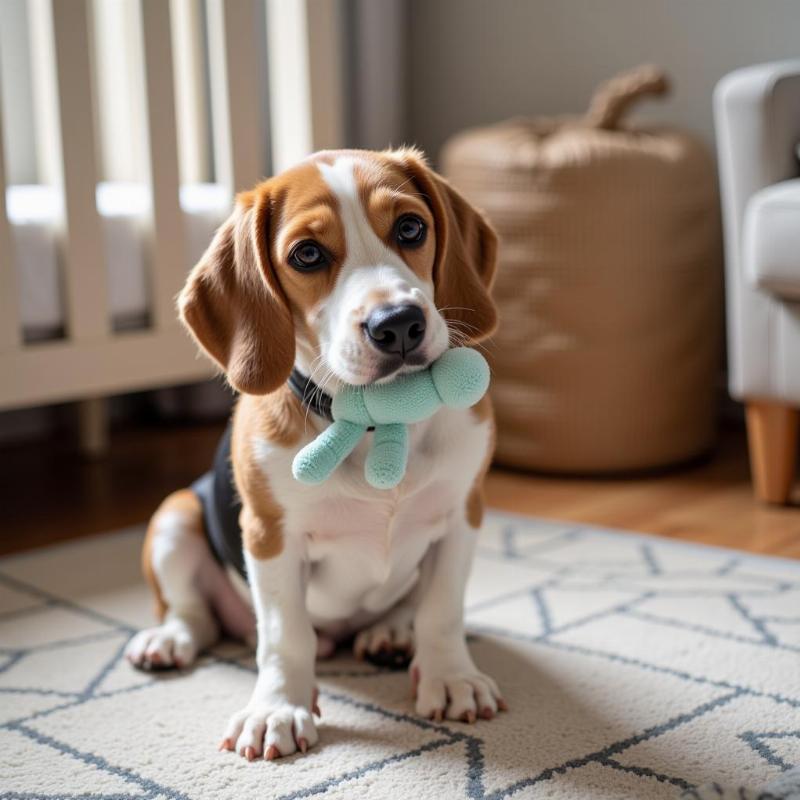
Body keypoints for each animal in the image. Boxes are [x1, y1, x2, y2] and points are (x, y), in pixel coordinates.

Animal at [126, 147, 506, 760]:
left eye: (411, 228)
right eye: (306, 254)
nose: (397, 324)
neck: (380, 421)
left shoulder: (462, 514)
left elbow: (443, 610)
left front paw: (451, 676)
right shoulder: (269, 535)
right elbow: (286, 635)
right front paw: (277, 708)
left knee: (405, 607)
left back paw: (391, 632)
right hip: (176, 513)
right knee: (195, 615)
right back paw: (168, 639)